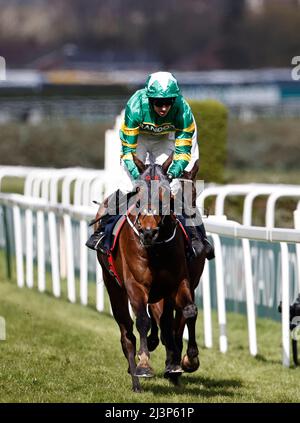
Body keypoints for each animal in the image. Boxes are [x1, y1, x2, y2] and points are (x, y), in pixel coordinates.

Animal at [96, 163, 206, 394]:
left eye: (167, 197)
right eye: (138, 196)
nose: (148, 232)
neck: (155, 249)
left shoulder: (180, 283)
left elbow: (187, 313)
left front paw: (187, 360)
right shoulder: (136, 286)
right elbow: (144, 321)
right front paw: (145, 364)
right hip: (114, 288)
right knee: (127, 334)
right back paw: (136, 378)